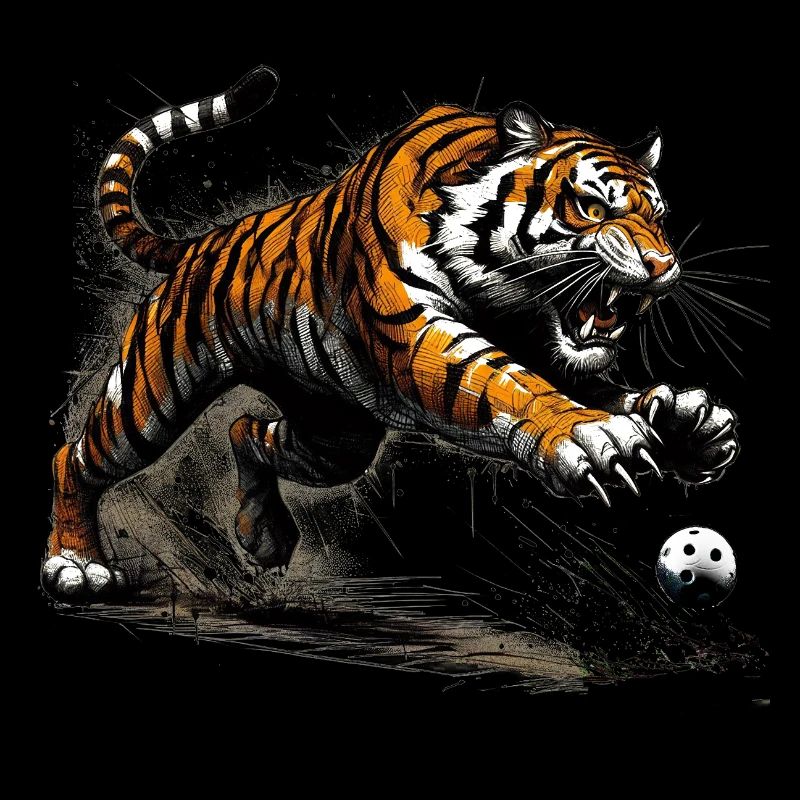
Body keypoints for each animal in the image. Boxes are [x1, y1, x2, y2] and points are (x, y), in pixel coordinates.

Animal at [44, 66, 739, 602]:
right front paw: (591, 437)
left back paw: (262, 535)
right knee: (75, 457)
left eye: (660, 218)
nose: (663, 265)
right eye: (593, 207)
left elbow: (596, 383)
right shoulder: (418, 334)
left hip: (333, 434)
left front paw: (687, 421)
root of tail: (200, 242)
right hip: (149, 395)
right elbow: (508, 384)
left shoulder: (549, 346)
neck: (507, 297)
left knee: (247, 430)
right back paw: (76, 566)